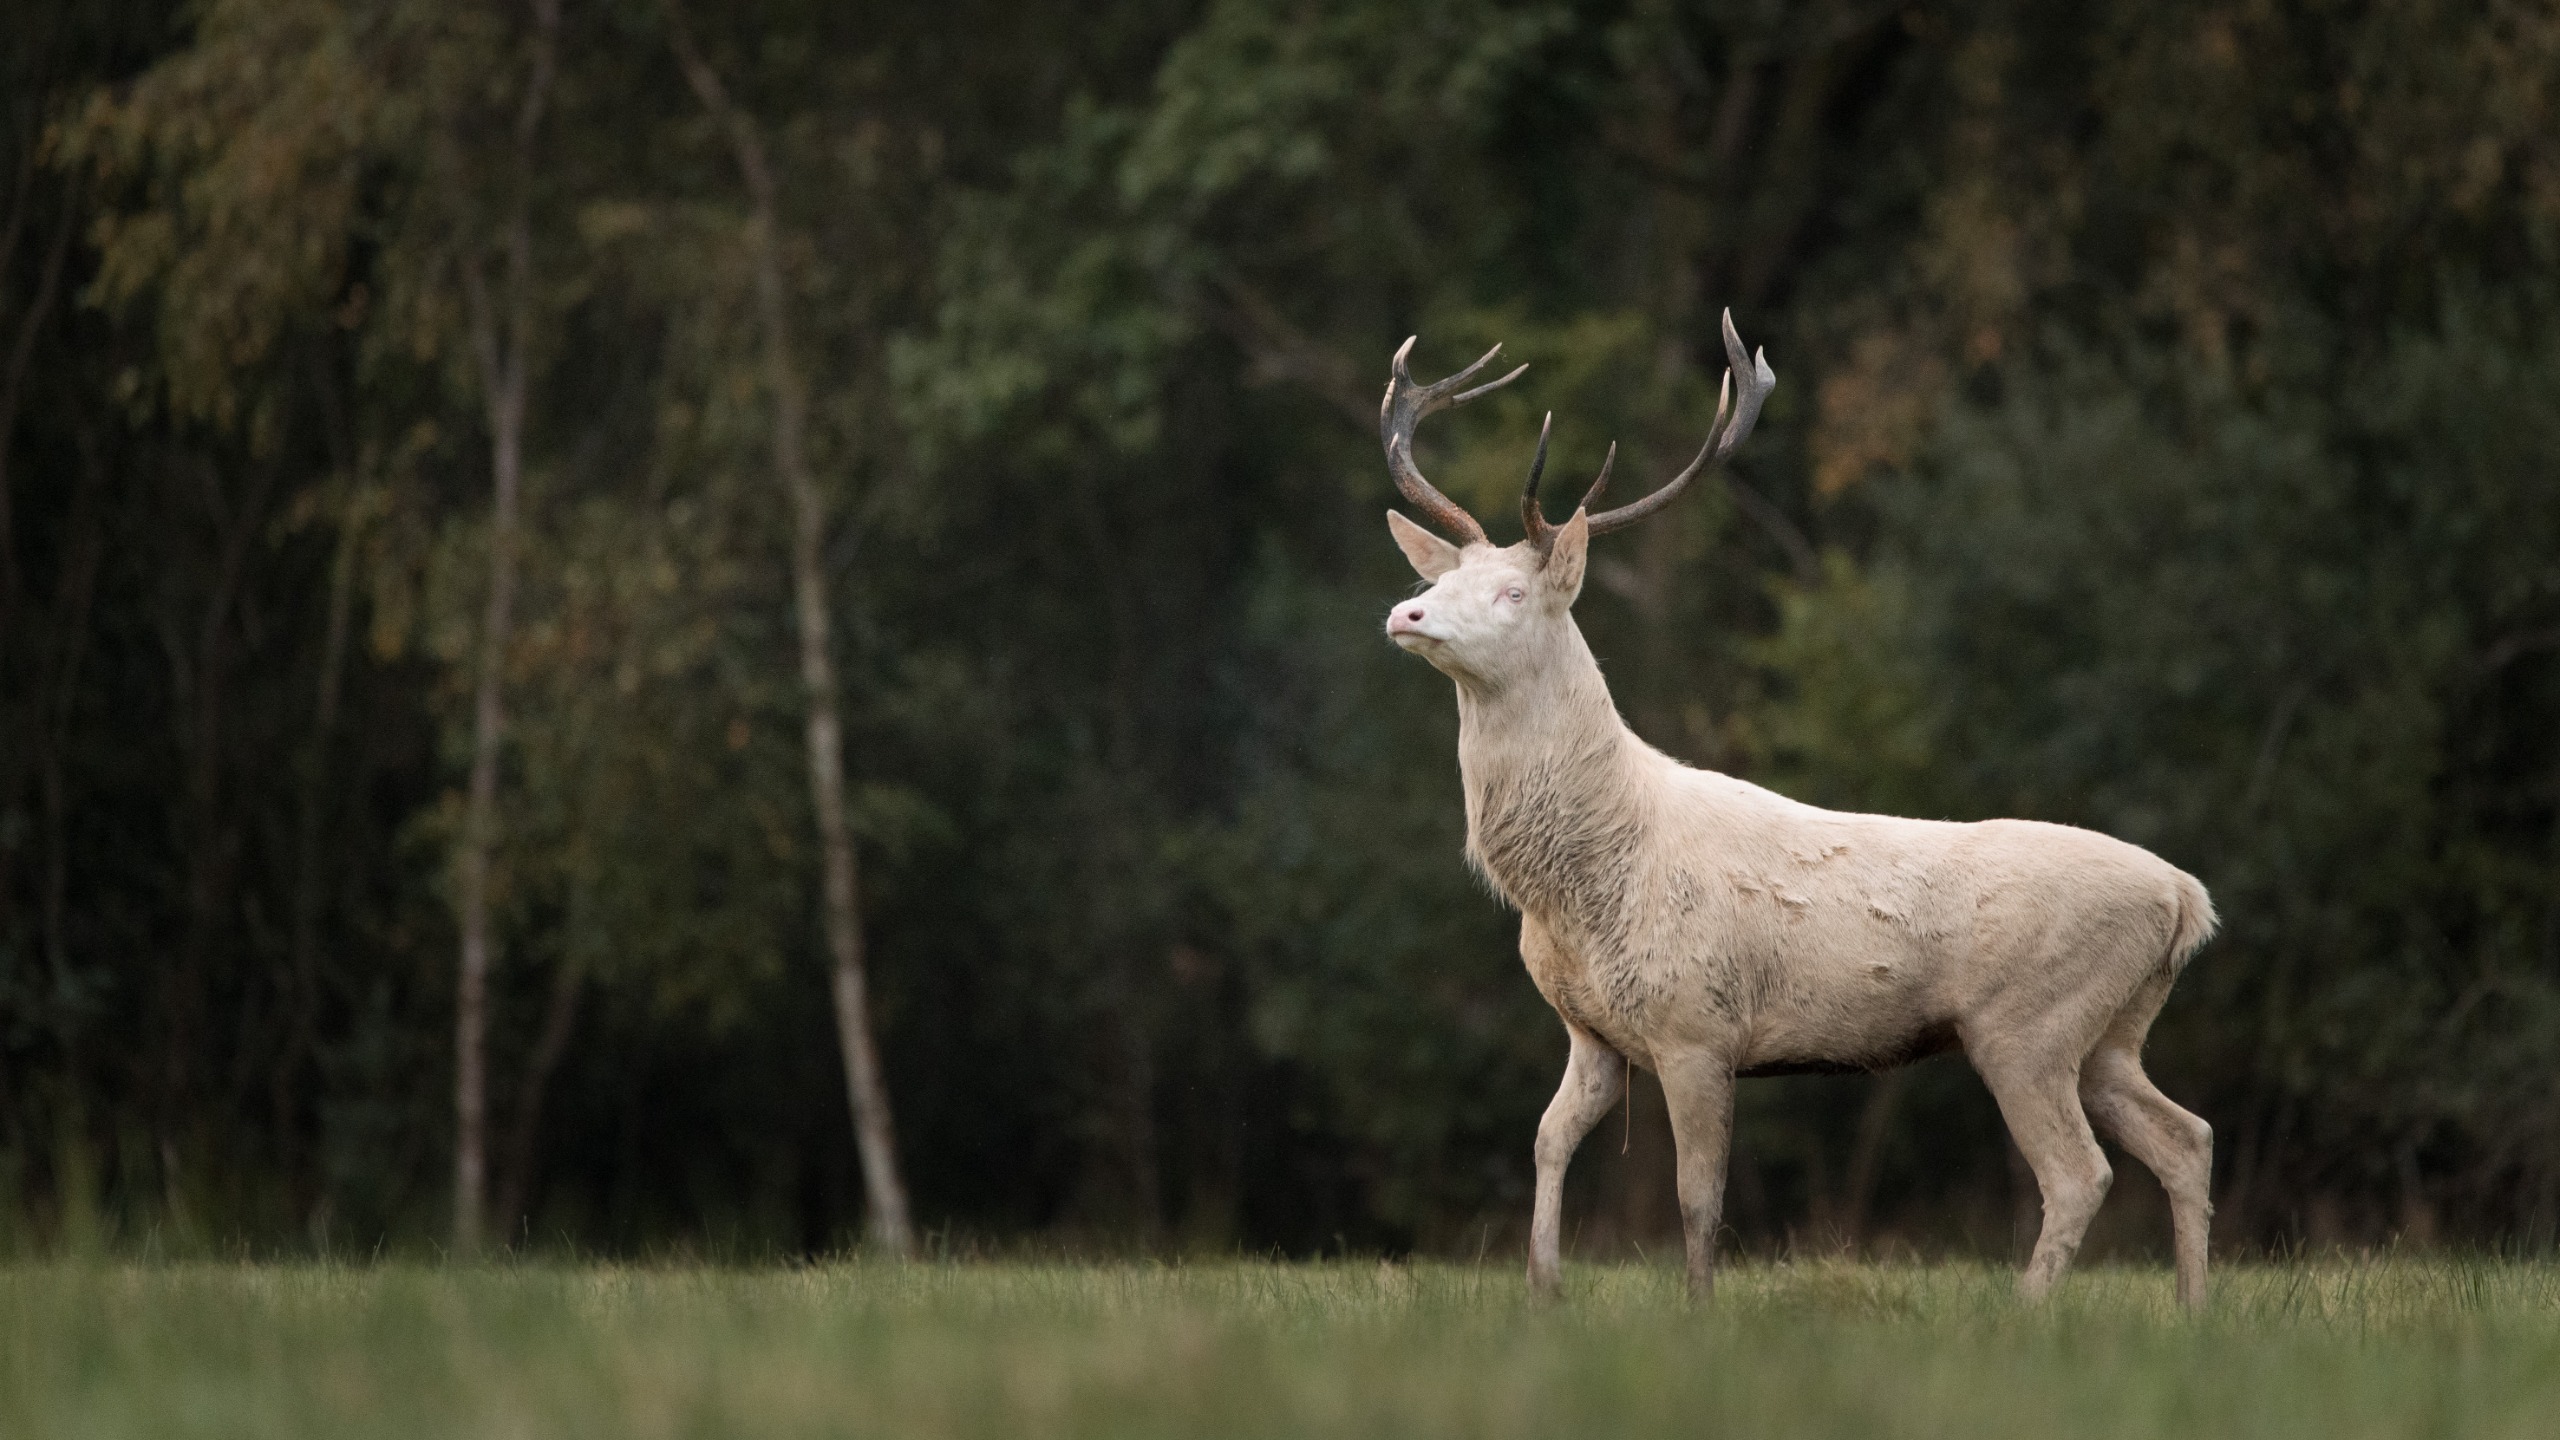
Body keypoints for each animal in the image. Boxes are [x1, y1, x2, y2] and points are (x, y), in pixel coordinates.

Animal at [1377, 312, 2219, 1308]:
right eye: (1441, 579)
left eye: (1511, 592)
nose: (1406, 614)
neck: (1574, 886)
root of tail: (2185, 900)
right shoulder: (1592, 1030)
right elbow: (1547, 1142)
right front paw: (1544, 1291)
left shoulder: (1698, 1024)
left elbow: (1697, 1195)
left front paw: (1699, 1311)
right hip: (2113, 1033)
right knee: (2187, 1136)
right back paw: (2191, 1312)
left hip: (2031, 1024)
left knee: (2081, 1172)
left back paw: (2026, 1312)